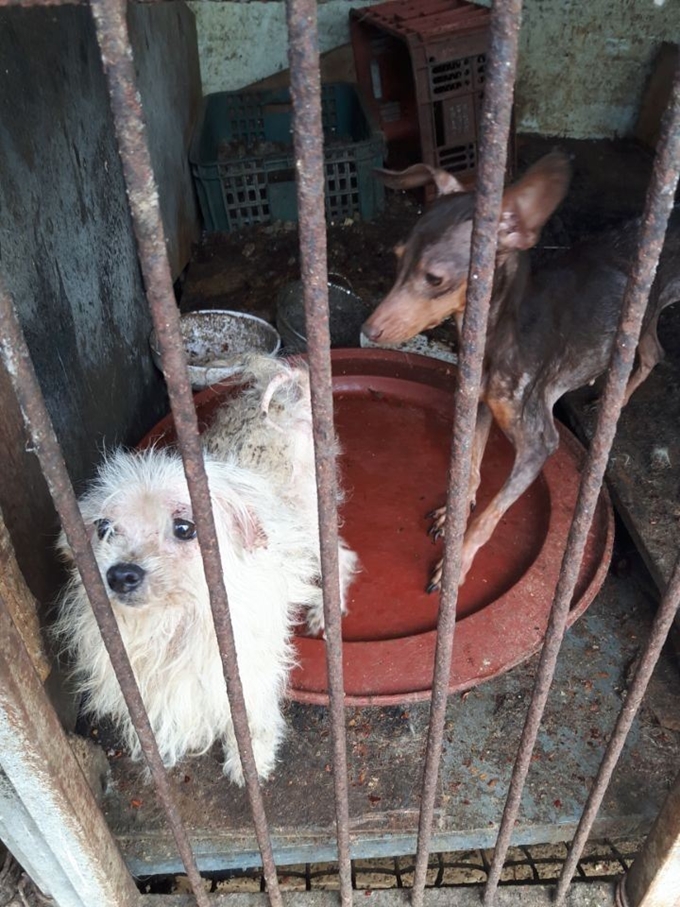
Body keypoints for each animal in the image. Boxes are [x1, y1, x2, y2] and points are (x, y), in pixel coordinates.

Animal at [51, 448, 322, 788]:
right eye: (103, 529)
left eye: (184, 528)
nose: (120, 575)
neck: (172, 625)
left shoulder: (251, 674)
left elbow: (251, 721)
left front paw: (251, 760)